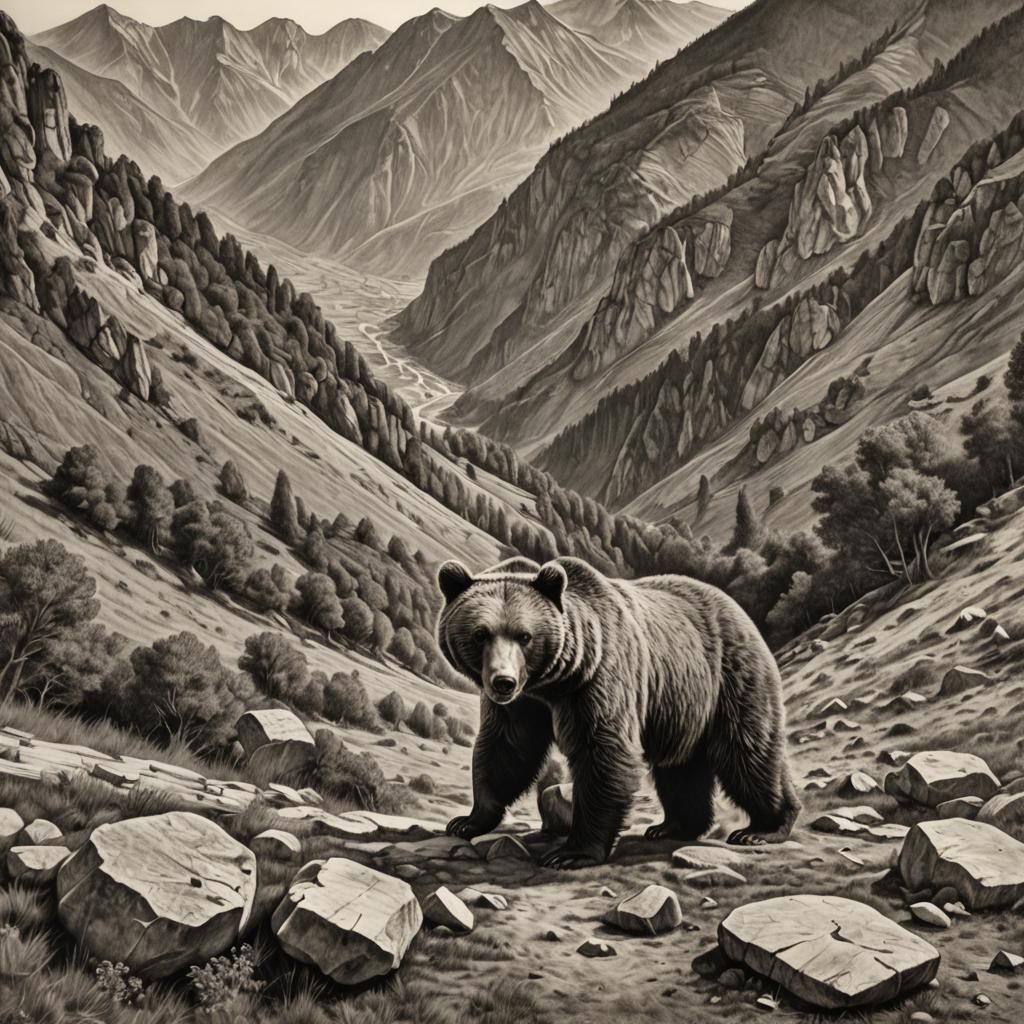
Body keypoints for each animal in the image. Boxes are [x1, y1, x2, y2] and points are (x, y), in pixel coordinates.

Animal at [436, 555, 800, 869]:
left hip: (729, 679)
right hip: (681, 705)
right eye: (481, 634)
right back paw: (674, 826)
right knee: (680, 767)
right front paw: (467, 821)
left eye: (524, 636)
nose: (503, 682)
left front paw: (573, 852)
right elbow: (506, 749)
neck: (550, 683)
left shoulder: (598, 678)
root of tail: (740, 612)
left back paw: (764, 828)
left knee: (746, 754)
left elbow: (603, 750)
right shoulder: (524, 705)